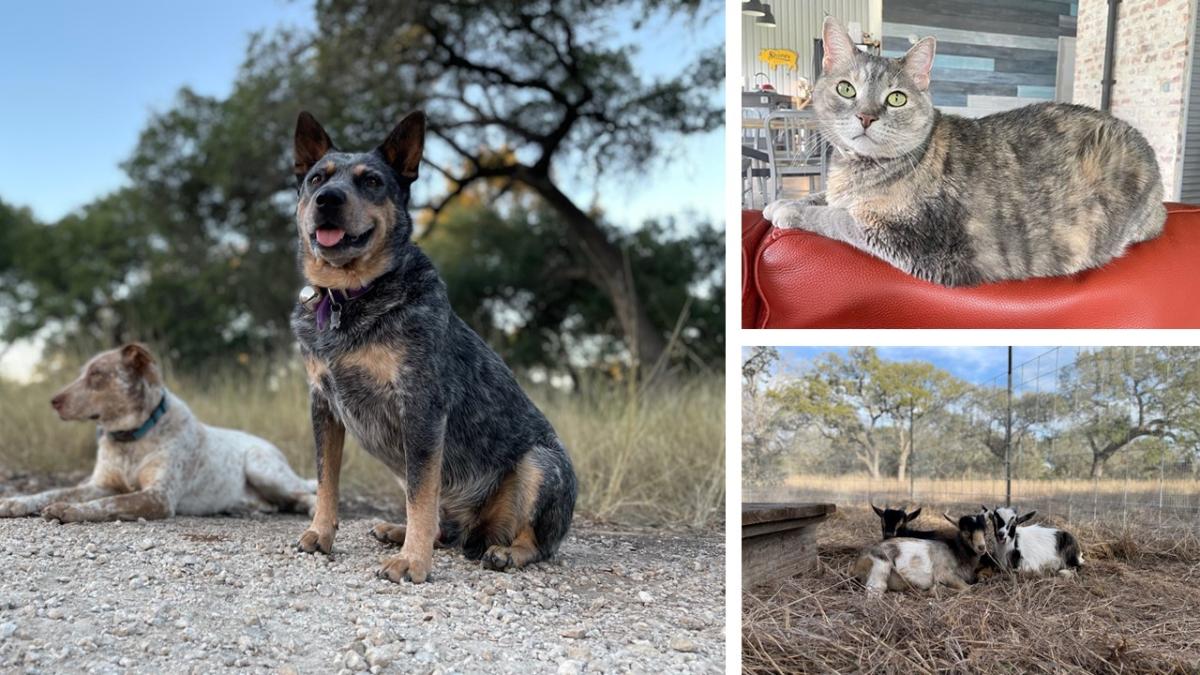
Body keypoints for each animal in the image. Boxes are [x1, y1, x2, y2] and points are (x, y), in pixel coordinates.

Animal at [0, 341, 316, 521]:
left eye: (96, 375)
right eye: (82, 373)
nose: (54, 401)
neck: (130, 438)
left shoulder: (158, 496)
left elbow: (109, 503)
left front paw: (70, 510)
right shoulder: (100, 484)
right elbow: (51, 492)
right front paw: (15, 502)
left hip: (262, 468)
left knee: (305, 495)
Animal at [288, 109, 573, 578]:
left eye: (371, 181)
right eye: (315, 178)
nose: (328, 199)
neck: (352, 296)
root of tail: (474, 529)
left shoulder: (421, 405)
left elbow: (422, 494)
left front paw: (412, 562)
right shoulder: (323, 405)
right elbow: (327, 479)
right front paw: (321, 533)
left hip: (541, 463)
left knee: (535, 541)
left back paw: (505, 551)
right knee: (440, 522)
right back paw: (397, 530)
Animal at [763, 17, 1166, 285]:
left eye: (896, 98)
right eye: (846, 89)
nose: (866, 116)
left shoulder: (906, 239)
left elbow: (835, 218)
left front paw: (789, 212)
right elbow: (822, 197)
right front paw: (781, 202)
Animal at [849, 509, 988, 593]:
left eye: (985, 530)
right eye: (966, 531)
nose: (981, 547)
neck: (956, 552)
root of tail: (857, 563)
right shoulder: (944, 573)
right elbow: (967, 588)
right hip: (881, 565)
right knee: (875, 589)